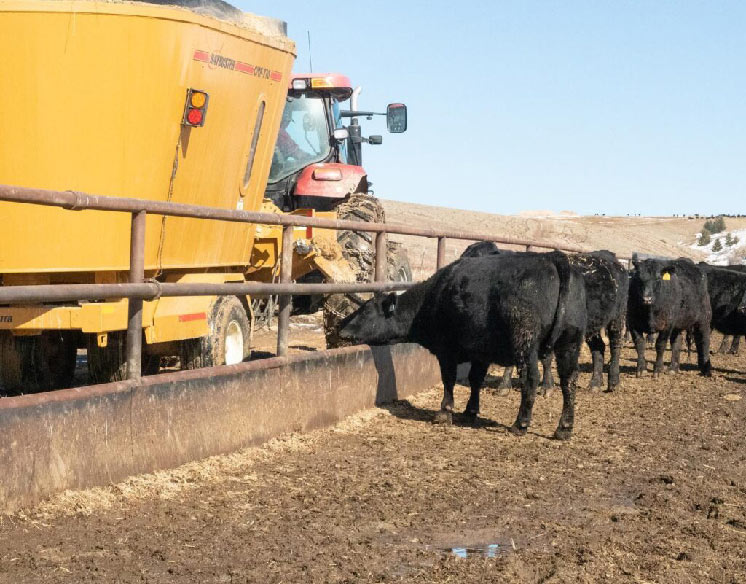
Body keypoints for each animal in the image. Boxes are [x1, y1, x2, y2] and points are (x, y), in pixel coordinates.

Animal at [338, 251, 587, 440]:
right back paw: (564, 428)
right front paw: (470, 411)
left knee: (531, 379)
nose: (341, 329)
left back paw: (520, 423)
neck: (433, 298)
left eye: (366, 311)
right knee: (569, 380)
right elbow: (475, 379)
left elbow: (448, 380)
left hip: (525, 344)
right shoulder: (481, 353)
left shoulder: (446, 351)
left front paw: (444, 412)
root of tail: (551, 257)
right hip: (570, 342)